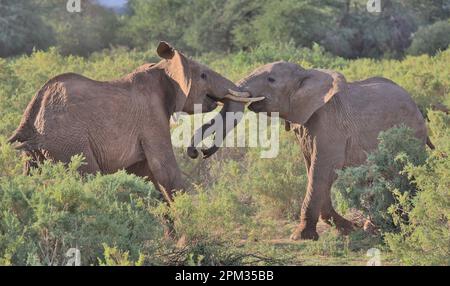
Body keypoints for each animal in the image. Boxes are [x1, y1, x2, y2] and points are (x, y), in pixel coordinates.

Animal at [7, 41, 262, 204]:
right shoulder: (152, 118)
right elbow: (165, 172)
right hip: (68, 143)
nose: (199, 152)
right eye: (204, 76)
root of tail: (30, 119)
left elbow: (147, 175)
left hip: (37, 153)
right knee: (86, 175)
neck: (162, 69)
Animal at [189, 61, 432, 240]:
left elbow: (323, 170)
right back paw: (372, 228)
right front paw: (348, 229)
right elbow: (313, 170)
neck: (307, 73)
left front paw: (300, 237)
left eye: (271, 80)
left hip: (411, 134)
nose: (199, 152)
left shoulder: (330, 123)